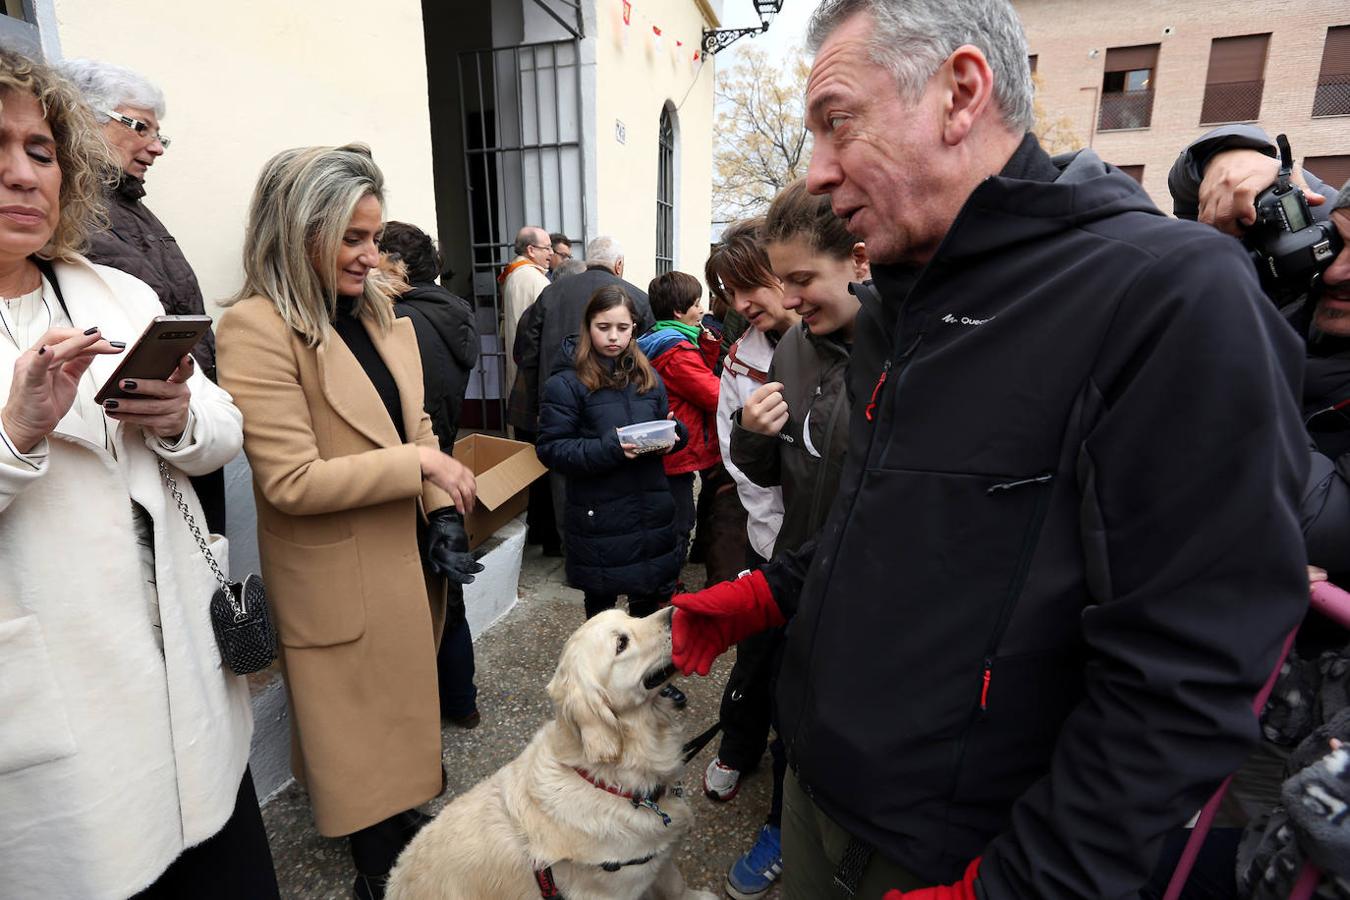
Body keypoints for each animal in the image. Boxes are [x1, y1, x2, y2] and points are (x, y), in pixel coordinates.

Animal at [386, 604, 718, 900]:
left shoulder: (658, 861)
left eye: (631, 615)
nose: (677, 611)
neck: (608, 780)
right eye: (621, 643)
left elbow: (675, 884)